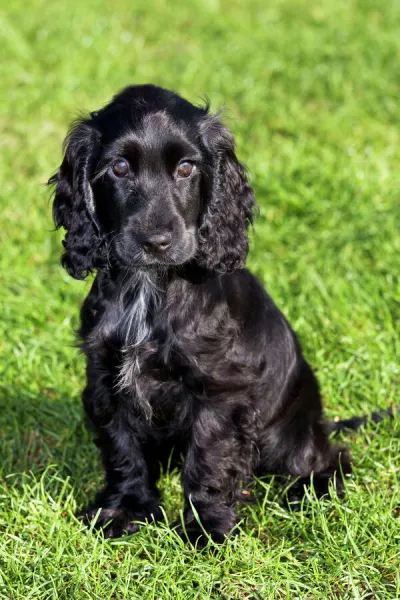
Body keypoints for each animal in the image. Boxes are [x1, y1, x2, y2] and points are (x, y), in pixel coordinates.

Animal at [49, 84, 350, 544]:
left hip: (288, 433)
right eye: (119, 167)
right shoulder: (105, 377)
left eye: (187, 168)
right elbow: (122, 450)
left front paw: (205, 530)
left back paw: (310, 491)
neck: (150, 288)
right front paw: (125, 511)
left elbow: (209, 460)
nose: (156, 242)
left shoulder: (220, 392)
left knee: (327, 459)